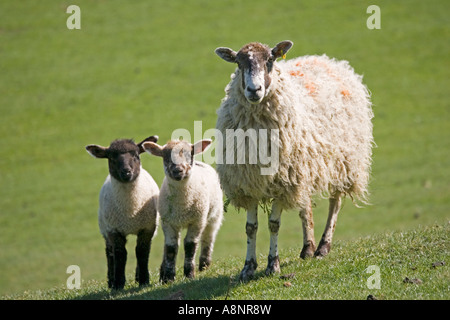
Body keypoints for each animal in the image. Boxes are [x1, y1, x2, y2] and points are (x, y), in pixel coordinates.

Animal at [86, 135, 160, 290]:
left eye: (136, 155)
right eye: (111, 158)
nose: (126, 172)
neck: (130, 209)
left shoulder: (147, 228)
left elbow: (141, 251)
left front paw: (144, 280)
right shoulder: (114, 230)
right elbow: (120, 254)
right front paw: (118, 284)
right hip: (104, 227)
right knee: (109, 253)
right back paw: (111, 280)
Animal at [142, 139, 223, 284]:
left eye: (189, 154)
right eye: (166, 157)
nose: (178, 170)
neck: (182, 205)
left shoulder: (197, 221)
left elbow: (190, 245)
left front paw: (189, 274)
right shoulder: (168, 222)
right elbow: (171, 248)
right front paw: (168, 277)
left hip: (215, 215)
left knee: (208, 237)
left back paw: (204, 265)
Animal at [214, 39, 372, 280]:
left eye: (270, 60)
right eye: (239, 63)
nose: (254, 90)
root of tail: (327, 60)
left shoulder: (282, 182)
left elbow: (274, 224)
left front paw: (273, 265)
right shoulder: (249, 182)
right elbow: (251, 227)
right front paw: (248, 267)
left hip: (343, 161)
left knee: (335, 202)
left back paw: (323, 247)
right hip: (302, 169)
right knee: (305, 206)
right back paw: (308, 247)